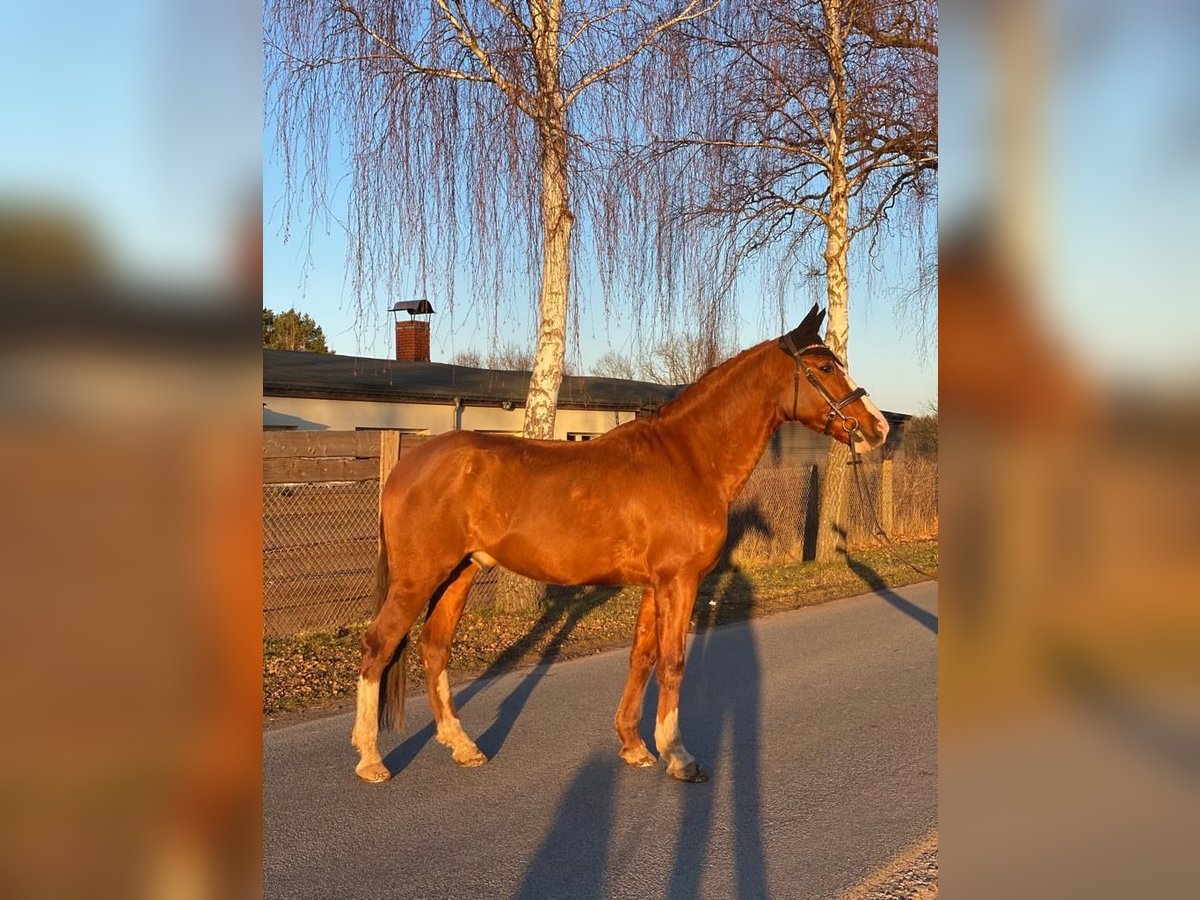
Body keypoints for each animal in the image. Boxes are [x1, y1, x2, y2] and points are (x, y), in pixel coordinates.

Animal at [350, 307, 888, 787]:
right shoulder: (679, 581)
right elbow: (673, 662)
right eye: (824, 368)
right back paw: (371, 760)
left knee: (433, 647)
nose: (878, 427)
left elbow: (643, 658)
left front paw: (634, 745)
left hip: (458, 573)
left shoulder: (656, 585)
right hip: (420, 576)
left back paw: (462, 747)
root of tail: (406, 465)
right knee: (379, 644)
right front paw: (679, 755)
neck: (690, 458)